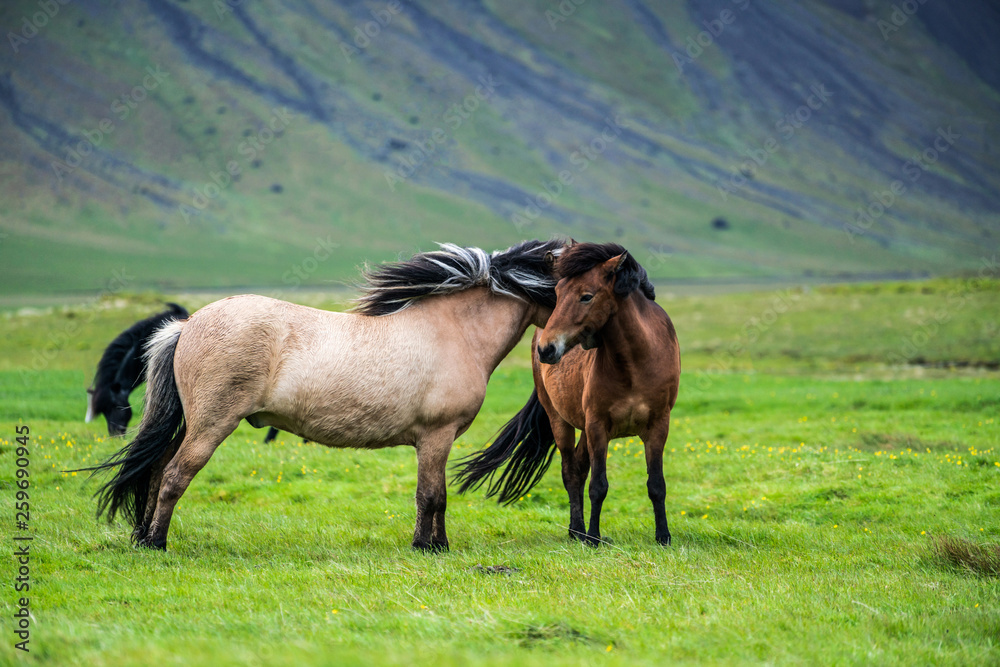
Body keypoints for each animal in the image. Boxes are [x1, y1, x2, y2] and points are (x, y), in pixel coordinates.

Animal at [456, 243, 680, 544]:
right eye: (558, 293)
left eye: (586, 296)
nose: (547, 348)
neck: (636, 362)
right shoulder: (598, 426)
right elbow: (598, 485)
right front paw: (594, 537)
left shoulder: (658, 426)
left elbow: (656, 484)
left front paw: (663, 536)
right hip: (561, 421)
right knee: (571, 472)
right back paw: (577, 531)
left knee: (580, 468)